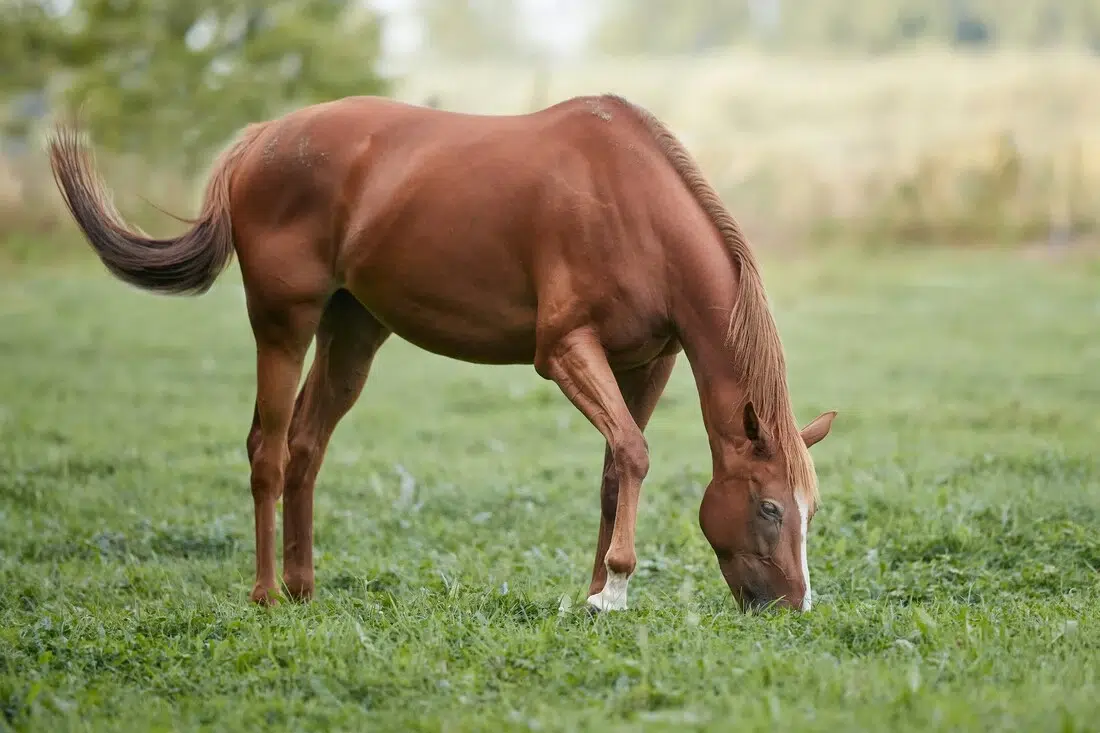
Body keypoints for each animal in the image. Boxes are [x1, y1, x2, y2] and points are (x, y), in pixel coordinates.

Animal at [48, 93, 837, 613]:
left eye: (810, 510)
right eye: (771, 508)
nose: (793, 605)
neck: (631, 204)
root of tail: (261, 138)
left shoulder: (648, 362)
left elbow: (618, 467)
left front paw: (594, 595)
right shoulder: (565, 350)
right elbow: (636, 453)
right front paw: (613, 585)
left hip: (352, 333)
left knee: (305, 447)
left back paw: (304, 589)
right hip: (282, 325)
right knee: (267, 452)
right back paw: (267, 593)